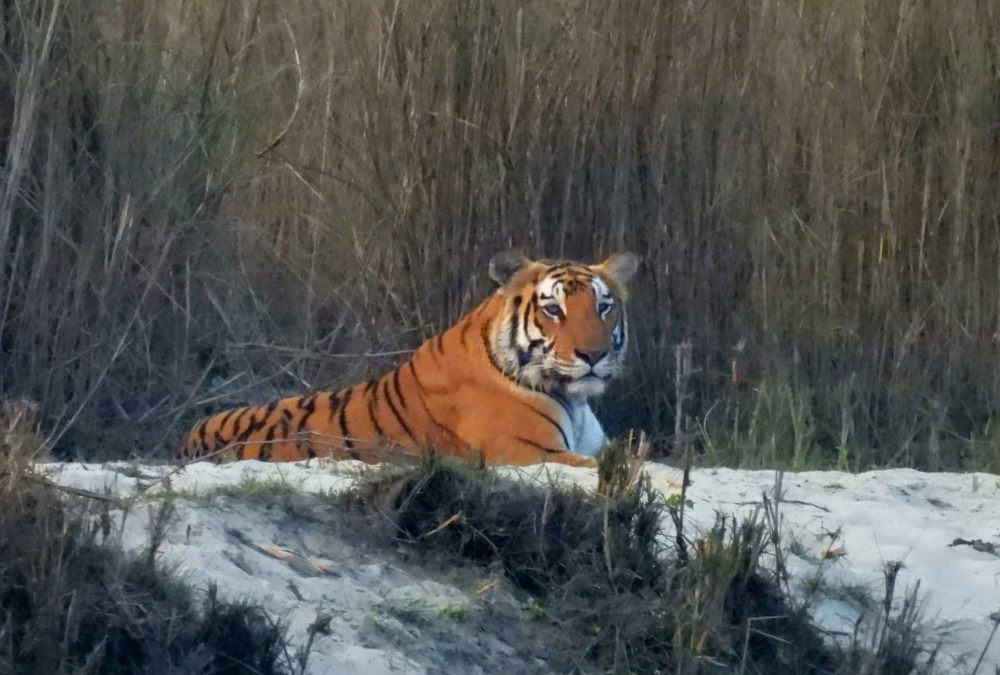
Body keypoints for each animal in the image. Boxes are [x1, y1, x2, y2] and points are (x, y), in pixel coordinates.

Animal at [176, 250, 638, 467]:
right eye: (554, 309)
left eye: (603, 307)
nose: (593, 354)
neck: (574, 401)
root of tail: (187, 440)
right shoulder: (526, 450)